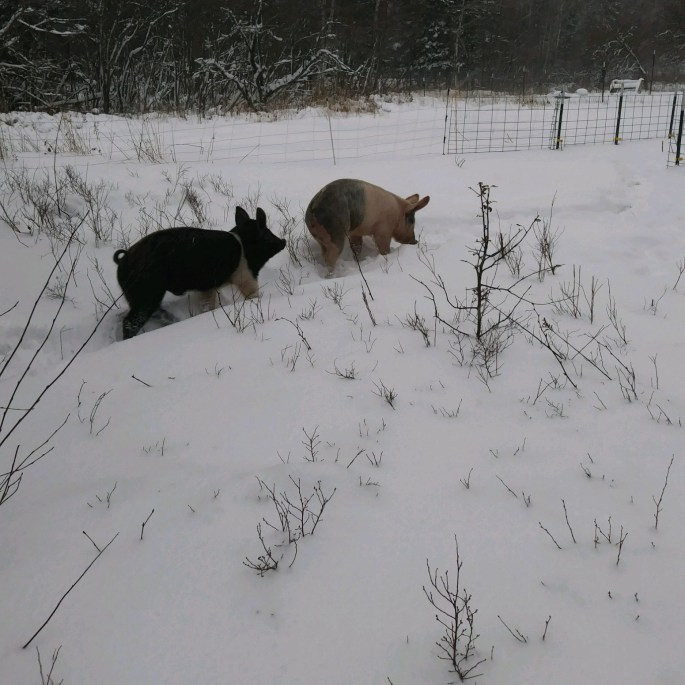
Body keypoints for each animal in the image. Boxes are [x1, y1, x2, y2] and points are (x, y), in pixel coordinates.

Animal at [113, 206, 286, 340]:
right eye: (267, 232)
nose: (283, 241)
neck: (244, 246)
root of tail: (122, 262)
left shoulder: (207, 288)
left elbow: (208, 304)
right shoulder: (245, 277)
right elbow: (253, 295)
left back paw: (174, 320)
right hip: (146, 291)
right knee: (131, 320)